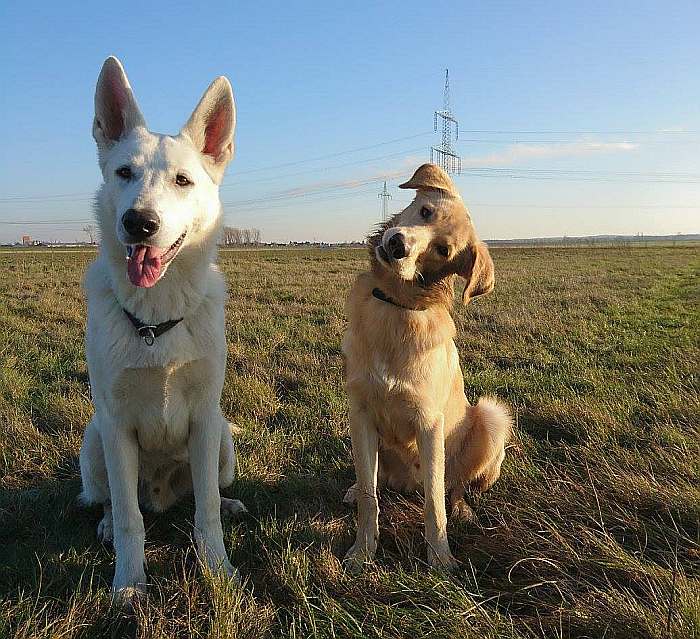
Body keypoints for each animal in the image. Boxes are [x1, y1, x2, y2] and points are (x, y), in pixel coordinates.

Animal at [77, 57, 243, 604]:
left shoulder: (205, 418)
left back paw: (229, 506)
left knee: (205, 494)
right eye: (124, 173)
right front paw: (130, 583)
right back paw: (107, 525)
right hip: (93, 442)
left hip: (224, 440)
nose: (139, 222)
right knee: (115, 502)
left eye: (183, 181)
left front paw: (218, 568)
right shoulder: (115, 424)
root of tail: (161, 496)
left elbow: (206, 510)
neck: (156, 318)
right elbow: (130, 519)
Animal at [342, 164, 512, 568]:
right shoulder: (360, 414)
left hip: (490, 417)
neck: (396, 304)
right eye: (425, 211)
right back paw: (355, 488)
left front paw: (440, 559)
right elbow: (370, 496)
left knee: (455, 485)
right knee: (374, 480)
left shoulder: (428, 424)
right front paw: (363, 549)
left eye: (443, 250)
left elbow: (435, 503)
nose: (397, 245)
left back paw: (462, 509)